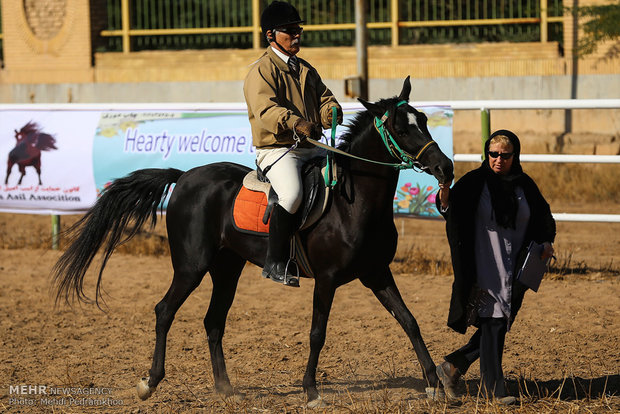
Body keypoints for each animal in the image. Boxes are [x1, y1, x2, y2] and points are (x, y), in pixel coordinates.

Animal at [53, 78, 452, 408]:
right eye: (400, 127)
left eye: (423, 120)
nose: (445, 167)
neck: (353, 201)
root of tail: (185, 177)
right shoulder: (326, 280)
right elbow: (317, 334)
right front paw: (311, 391)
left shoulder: (377, 273)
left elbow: (410, 321)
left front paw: (435, 384)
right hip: (191, 266)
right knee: (164, 311)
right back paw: (149, 383)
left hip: (227, 269)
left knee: (213, 322)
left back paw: (225, 388)